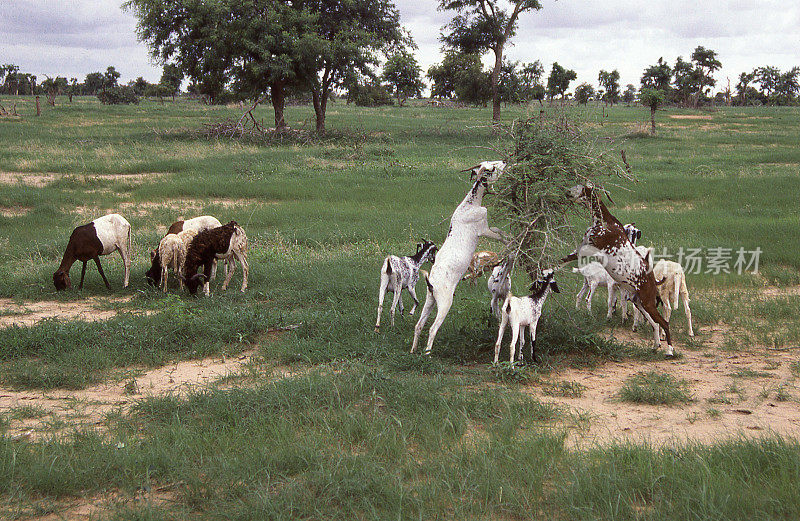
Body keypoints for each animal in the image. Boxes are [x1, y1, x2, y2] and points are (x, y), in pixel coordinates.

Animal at [410, 159, 510, 354]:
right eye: (492, 167)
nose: (505, 161)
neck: (470, 205)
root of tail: (431, 282)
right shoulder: (483, 229)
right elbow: (498, 235)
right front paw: (511, 241)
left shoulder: (486, 227)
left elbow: (498, 230)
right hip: (445, 302)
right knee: (432, 328)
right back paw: (428, 353)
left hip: (430, 300)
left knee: (418, 325)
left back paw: (413, 350)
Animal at [564, 181, 676, 356]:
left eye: (582, 188)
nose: (567, 192)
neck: (605, 222)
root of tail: (653, 280)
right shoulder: (580, 248)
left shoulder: (590, 249)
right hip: (640, 303)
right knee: (655, 324)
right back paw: (655, 345)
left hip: (648, 303)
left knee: (664, 323)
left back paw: (670, 350)